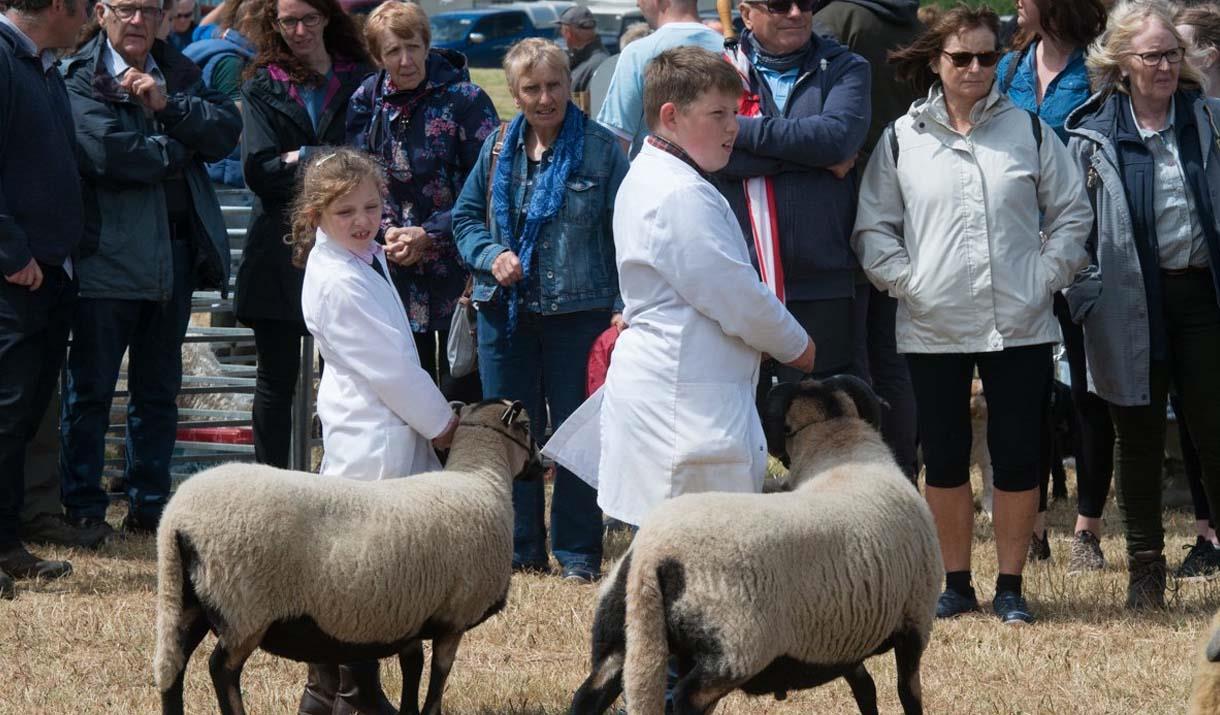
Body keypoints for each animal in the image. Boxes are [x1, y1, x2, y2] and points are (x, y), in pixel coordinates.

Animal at [570, 373, 941, 712]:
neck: (840, 449)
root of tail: (654, 554)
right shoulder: (915, 620)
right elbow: (908, 693)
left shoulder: (845, 635)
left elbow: (865, 688)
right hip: (734, 645)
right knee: (687, 697)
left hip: (623, 634)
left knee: (589, 694)